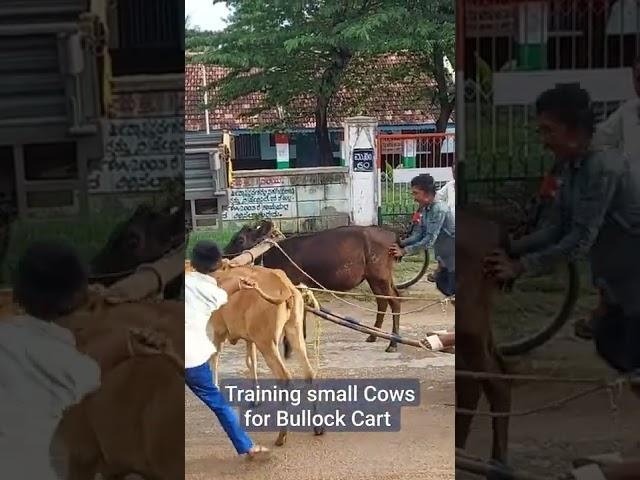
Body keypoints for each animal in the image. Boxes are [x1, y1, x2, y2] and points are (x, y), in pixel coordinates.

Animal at [228, 221, 402, 352]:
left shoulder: (295, 284)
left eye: (240, 239)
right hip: (375, 278)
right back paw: (373, 336)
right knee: (383, 300)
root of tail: (391, 234)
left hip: (380, 277)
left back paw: (392, 343)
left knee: (394, 301)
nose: (224, 253)